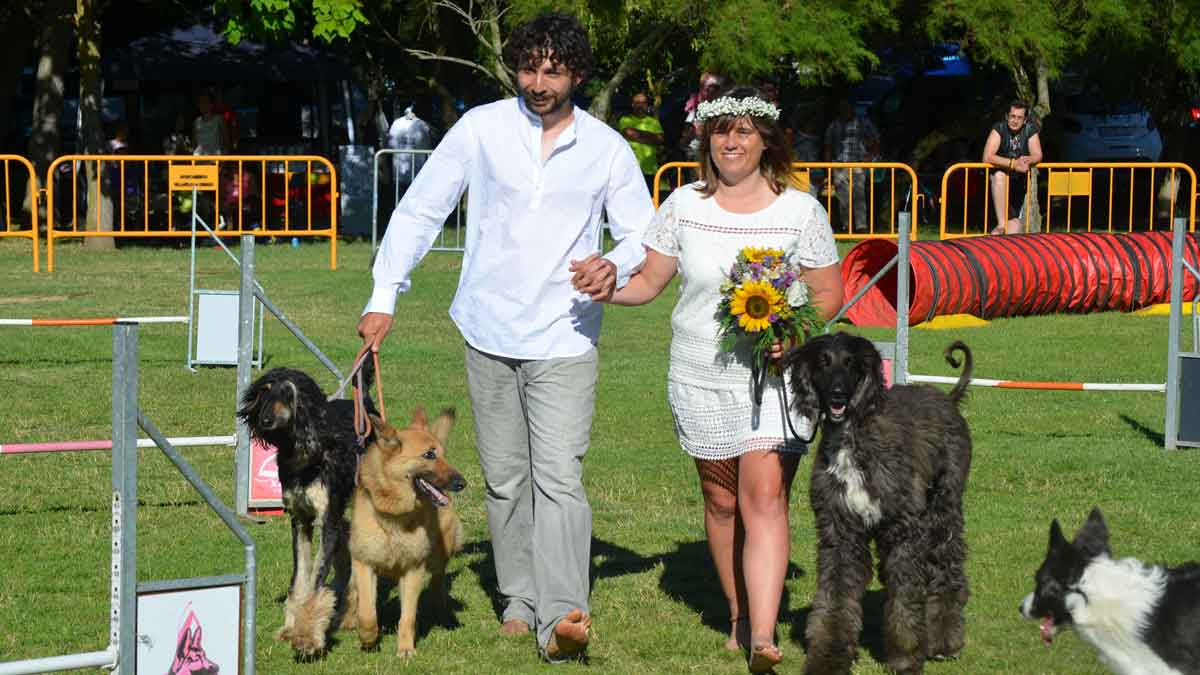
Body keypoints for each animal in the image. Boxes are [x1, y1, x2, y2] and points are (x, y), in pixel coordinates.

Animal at [238, 365, 374, 653]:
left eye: (288, 393)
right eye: (265, 391)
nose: (264, 421)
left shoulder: (327, 519)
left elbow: (314, 582)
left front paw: (307, 636)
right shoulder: (300, 520)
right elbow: (300, 579)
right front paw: (291, 626)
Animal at [343, 408, 468, 653]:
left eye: (443, 454)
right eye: (429, 455)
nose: (462, 483)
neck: (394, 516)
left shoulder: (413, 569)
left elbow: (408, 617)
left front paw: (406, 649)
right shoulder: (364, 565)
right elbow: (367, 614)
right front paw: (368, 639)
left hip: (438, 556)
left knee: (437, 581)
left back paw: (439, 606)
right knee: (352, 593)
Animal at [787, 331, 974, 672]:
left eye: (851, 362)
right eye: (823, 361)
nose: (837, 395)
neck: (852, 439)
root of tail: (948, 398)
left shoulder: (902, 529)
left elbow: (905, 595)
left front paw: (905, 657)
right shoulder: (840, 530)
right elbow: (835, 596)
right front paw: (828, 659)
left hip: (943, 506)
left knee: (946, 566)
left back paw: (943, 640)